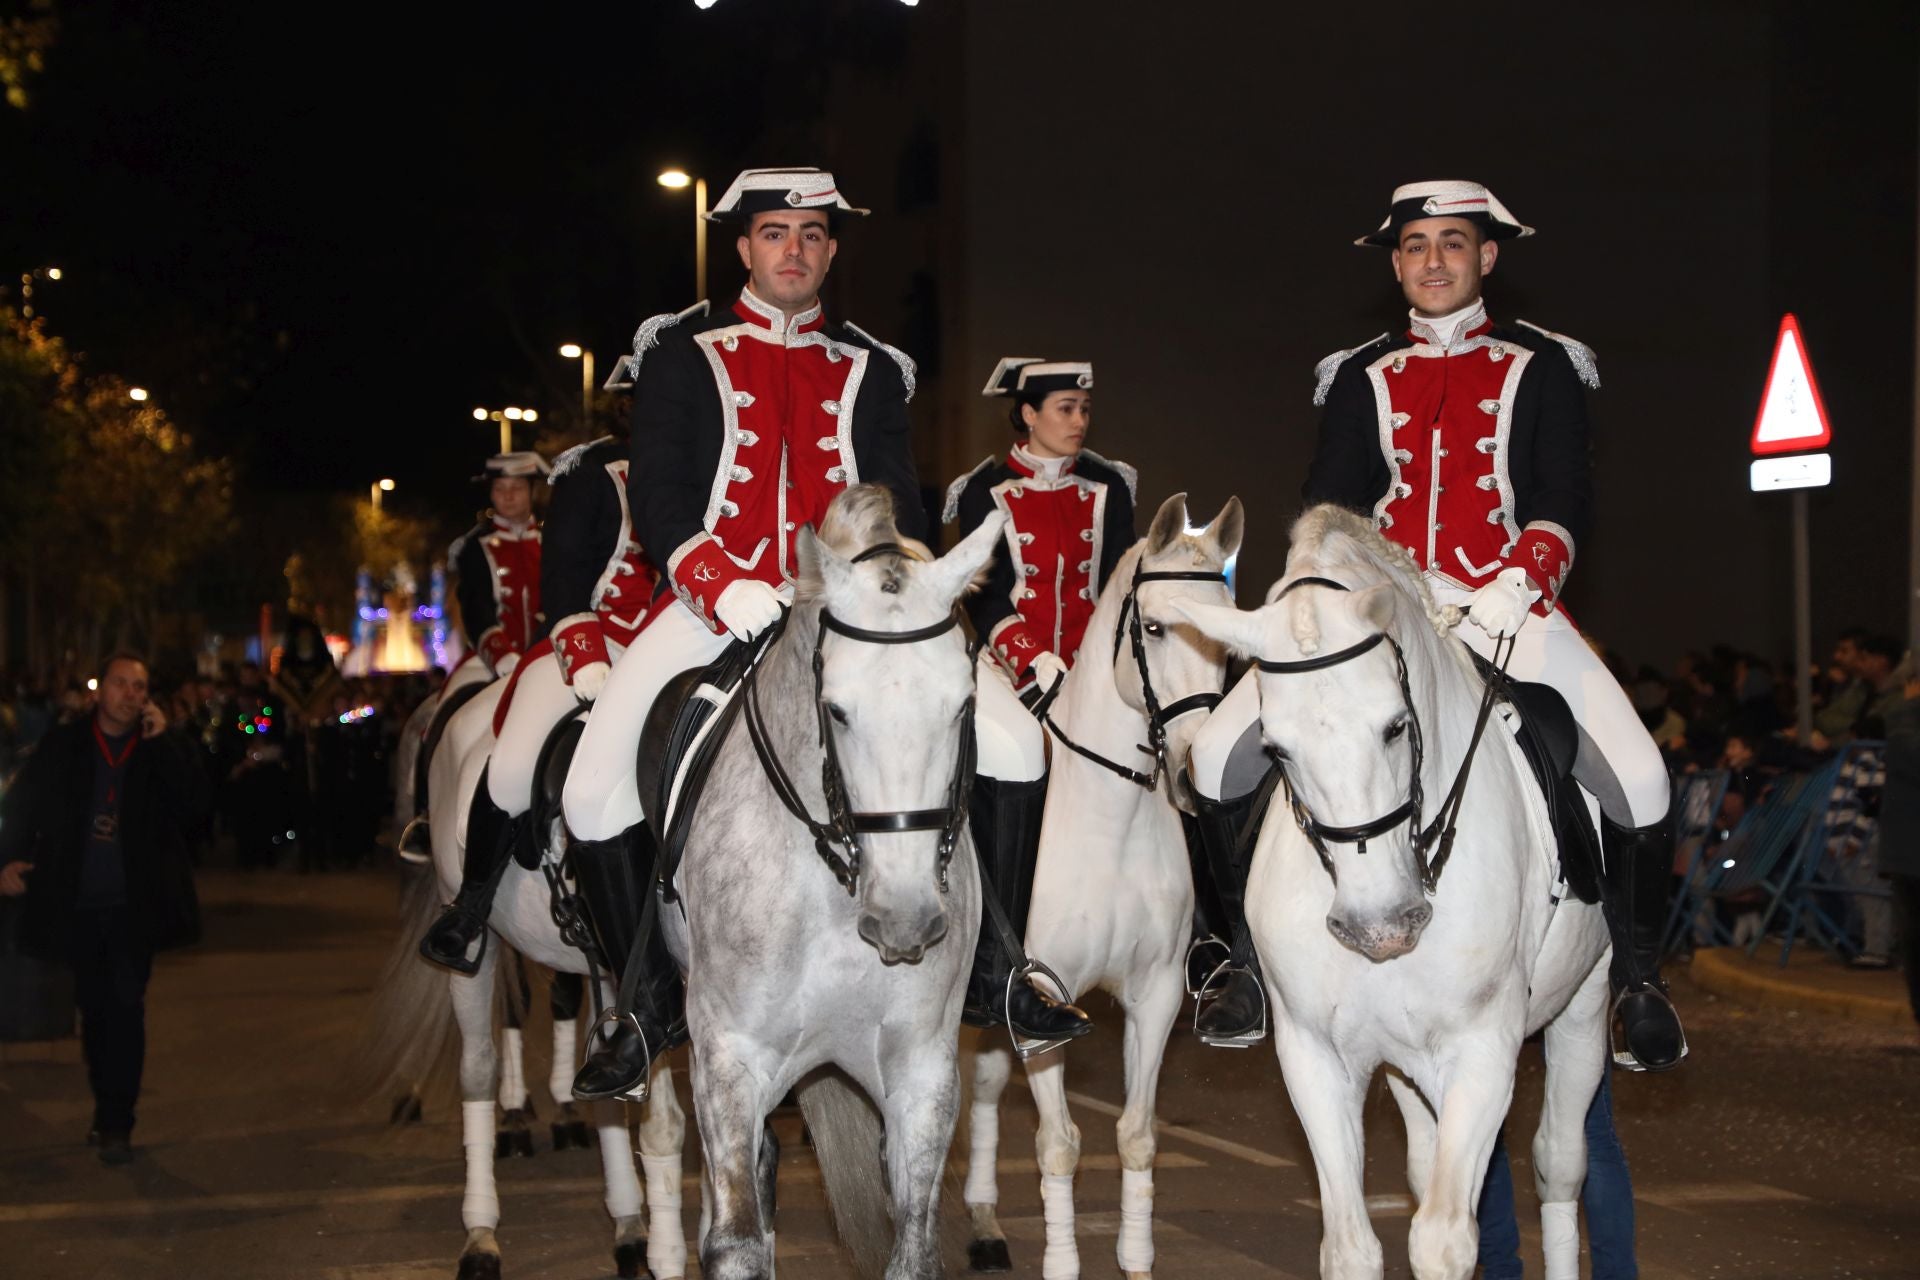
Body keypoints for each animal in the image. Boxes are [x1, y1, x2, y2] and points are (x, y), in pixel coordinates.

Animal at [656, 491, 1006, 1280]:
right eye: (837, 710)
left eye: (964, 705)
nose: (906, 922)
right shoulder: (728, 1057)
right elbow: (737, 1240)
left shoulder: (922, 1066)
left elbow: (914, 1247)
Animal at [960, 495, 1244, 1280]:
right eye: (1153, 628)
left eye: (1228, 632)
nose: (1190, 767)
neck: (1108, 823)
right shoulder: (1043, 1006)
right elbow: (1059, 1146)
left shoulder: (1155, 995)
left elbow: (1137, 1136)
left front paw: (1137, 1259)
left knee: (984, 1086)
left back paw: (985, 1221)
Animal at [1175, 506, 1612, 1280]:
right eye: (1275, 750)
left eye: (1395, 726)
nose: (1381, 926)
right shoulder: (1315, 1057)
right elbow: (1351, 1246)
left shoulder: (1482, 1049)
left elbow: (1443, 1239)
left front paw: (1505, 596)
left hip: (1584, 1008)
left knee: (1559, 1165)